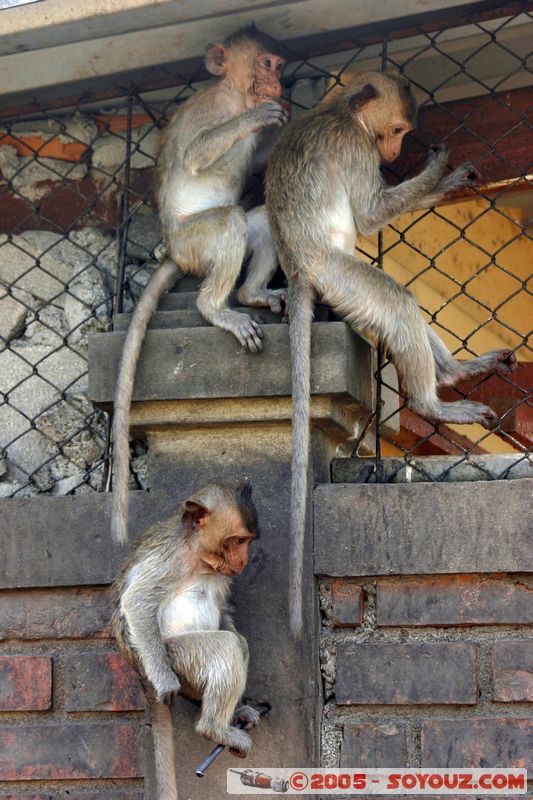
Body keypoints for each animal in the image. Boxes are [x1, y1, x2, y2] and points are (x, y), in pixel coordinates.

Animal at [111, 27, 288, 544]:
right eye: (267, 63)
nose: (278, 80)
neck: (234, 95)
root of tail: (174, 250)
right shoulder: (210, 109)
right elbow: (194, 155)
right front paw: (261, 116)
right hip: (195, 242)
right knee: (228, 222)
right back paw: (217, 309)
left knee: (259, 222)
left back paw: (251, 294)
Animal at [112, 481, 262, 800]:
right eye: (237, 540)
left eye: (247, 541)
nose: (244, 560)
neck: (199, 557)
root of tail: (140, 673)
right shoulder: (170, 558)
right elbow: (137, 601)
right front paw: (165, 683)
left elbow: (223, 611)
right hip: (174, 655)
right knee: (226, 646)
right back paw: (213, 728)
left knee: (237, 642)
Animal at [265, 72, 518, 636]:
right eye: (399, 129)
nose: (398, 150)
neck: (339, 111)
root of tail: (299, 269)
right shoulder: (355, 147)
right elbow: (370, 214)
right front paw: (439, 173)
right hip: (342, 280)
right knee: (396, 299)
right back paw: (430, 403)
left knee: (405, 303)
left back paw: (452, 374)